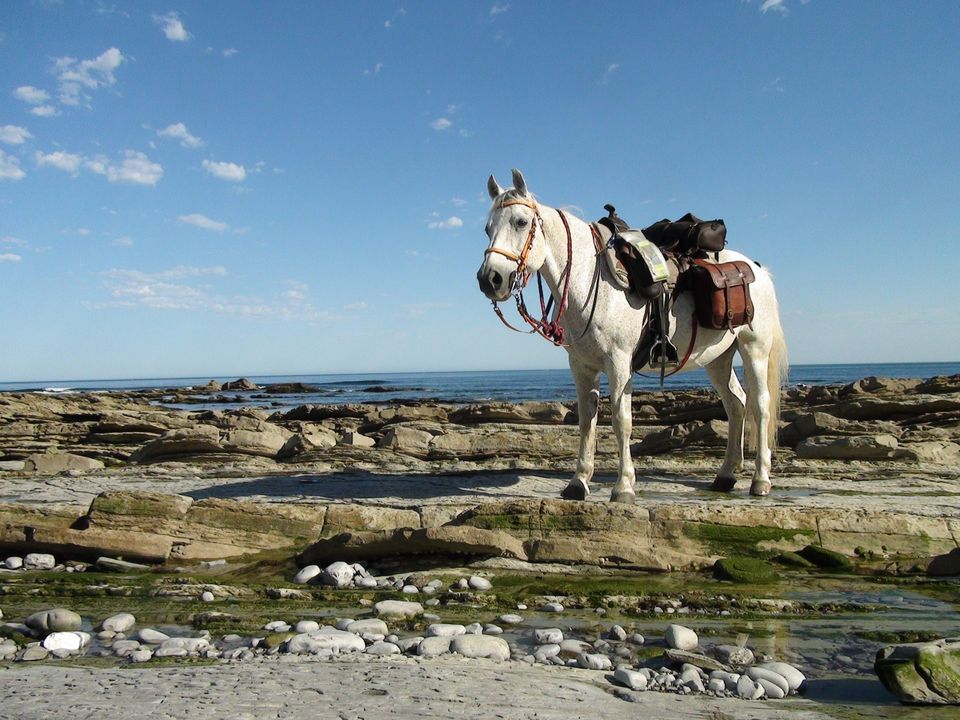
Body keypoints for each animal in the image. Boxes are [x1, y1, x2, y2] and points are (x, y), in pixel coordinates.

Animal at [480, 169, 788, 498]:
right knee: (736, 404)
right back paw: (726, 475)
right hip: (718, 358)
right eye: (487, 229)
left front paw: (624, 486)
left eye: (520, 222)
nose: (490, 279)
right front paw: (578, 482)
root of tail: (757, 269)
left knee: (760, 405)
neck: (591, 280)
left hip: (754, 348)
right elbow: (587, 422)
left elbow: (621, 421)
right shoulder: (582, 366)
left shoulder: (619, 363)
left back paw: (760, 479)